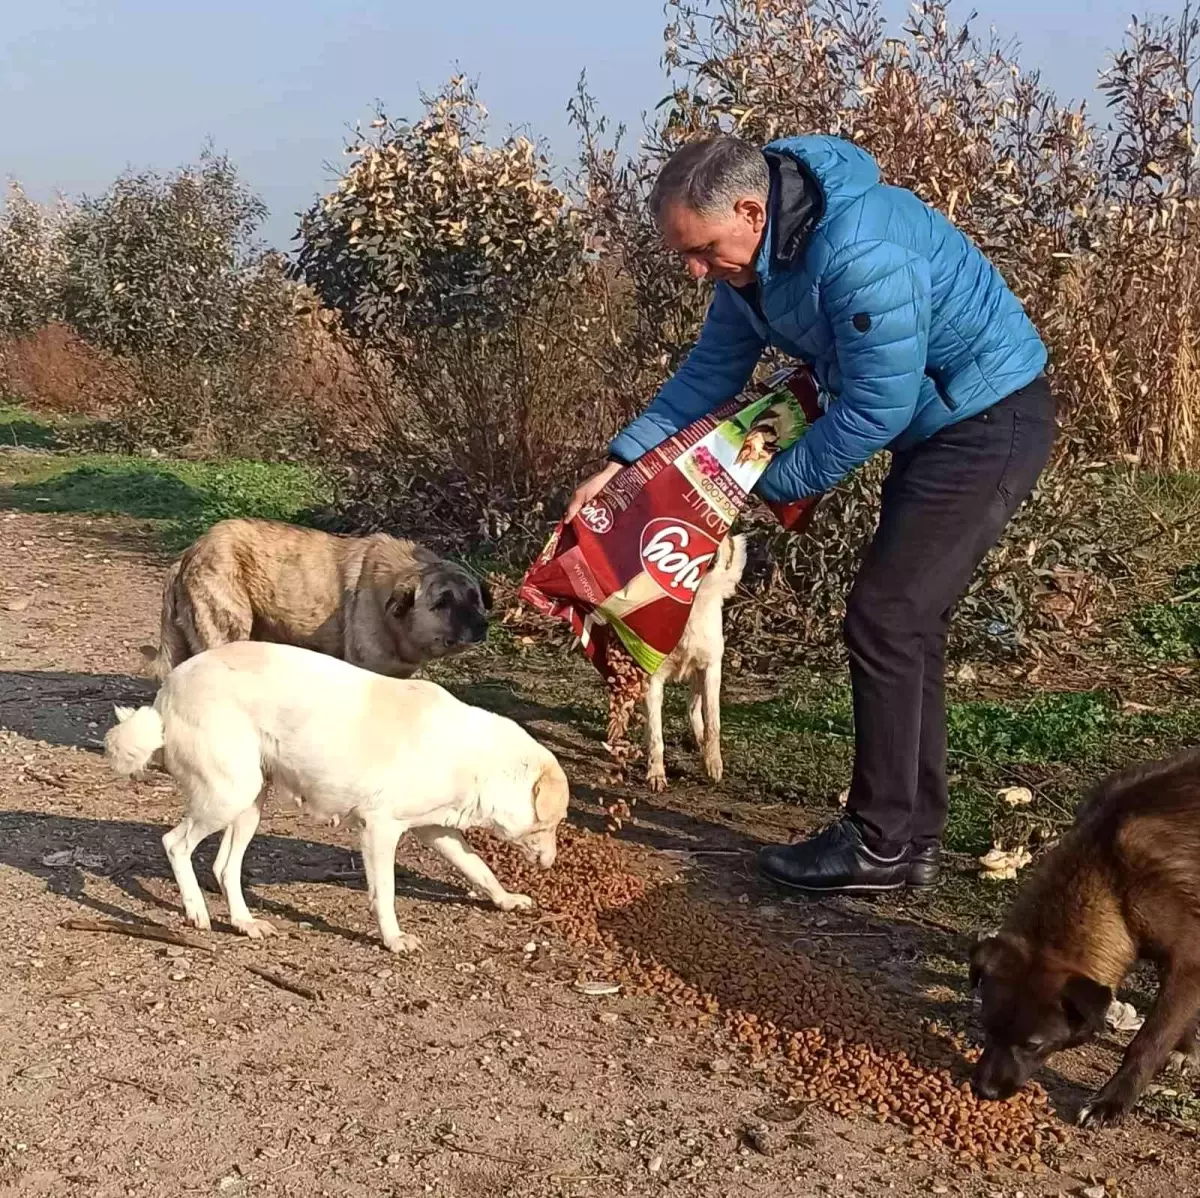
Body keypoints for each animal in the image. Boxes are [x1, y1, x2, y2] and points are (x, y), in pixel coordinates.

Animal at [105, 643, 568, 960]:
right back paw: (196, 912)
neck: (476, 757)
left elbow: (479, 869)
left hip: (249, 802)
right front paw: (393, 939)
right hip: (227, 794)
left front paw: (506, 900)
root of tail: (167, 690)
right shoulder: (379, 829)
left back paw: (244, 922)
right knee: (175, 844)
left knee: (223, 867)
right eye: (552, 824)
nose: (550, 865)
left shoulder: (437, 830)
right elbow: (386, 893)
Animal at [643, 537, 744, 797]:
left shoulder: (711, 668)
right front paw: (656, 774)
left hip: (699, 673)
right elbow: (656, 736)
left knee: (692, 707)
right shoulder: (652, 678)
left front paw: (713, 763)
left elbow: (713, 724)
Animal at [969, 749, 1200, 1123]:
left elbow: (1148, 1041)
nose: (984, 1091)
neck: (1107, 873)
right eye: (987, 1026)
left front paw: (1112, 1101)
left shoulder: (1187, 957)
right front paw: (1188, 1049)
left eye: (1033, 1044)